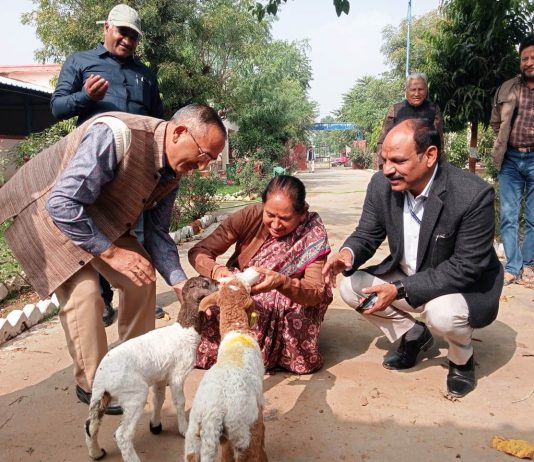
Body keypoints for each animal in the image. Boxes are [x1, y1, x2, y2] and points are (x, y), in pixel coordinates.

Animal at [85, 276, 219, 462]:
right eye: (205, 284)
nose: (219, 283)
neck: (185, 331)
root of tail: (102, 379)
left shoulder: (161, 376)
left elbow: (159, 399)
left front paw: (155, 425)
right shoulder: (177, 375)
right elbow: (180, 401)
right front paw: (184, 430)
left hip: (102, 398)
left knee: (91, 425)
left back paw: (96, 453)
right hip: (134, 393)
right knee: (122, 434)